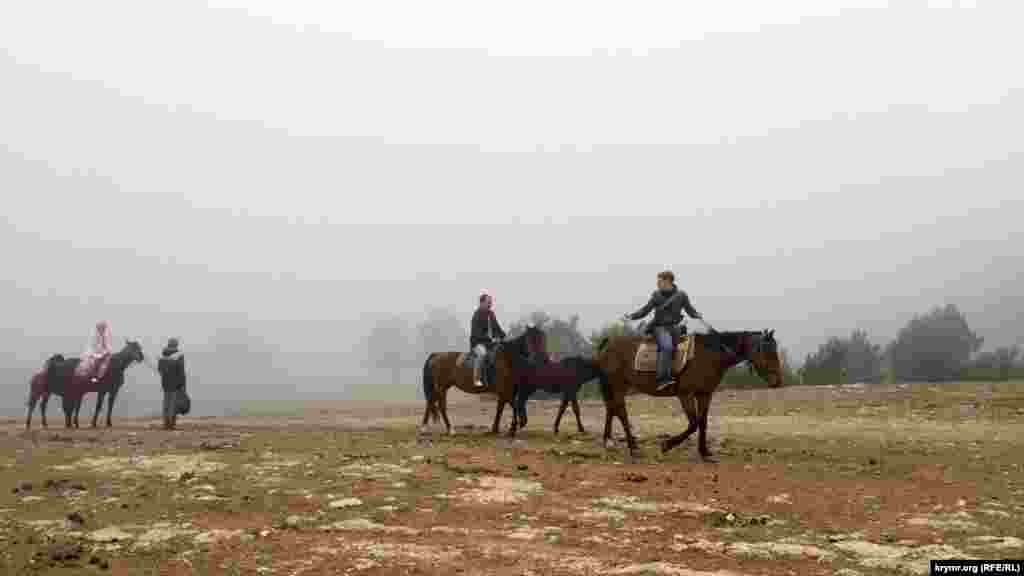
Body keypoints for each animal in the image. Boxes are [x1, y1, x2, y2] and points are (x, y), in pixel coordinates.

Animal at [419, 323, 548, 434]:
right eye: (531, 340)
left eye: (542, 338)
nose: (542, 357)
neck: (506, 358)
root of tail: (436, 355)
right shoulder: (504, 391)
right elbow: (513, 405)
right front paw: (514, 427)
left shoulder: (504, 392)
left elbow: (501, 408)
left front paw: (496, 429)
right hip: (441, 387)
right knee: (440, 405)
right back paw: (450, 429)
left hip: (442, 387)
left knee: (431, 402)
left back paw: (425, 428)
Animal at [593, 327, 782, 461]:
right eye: (767, 351)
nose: (778, 381)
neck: (709, 355)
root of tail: (609, 342)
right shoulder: (686, 394)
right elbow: (693, 423)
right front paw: (667, 445)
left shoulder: (704, 394)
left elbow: (702, 422)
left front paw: (704, 452)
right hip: (618, 385)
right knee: (621, 412)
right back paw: (633, 447)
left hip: (618, 387)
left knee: (611, 408)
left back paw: (608, 441)